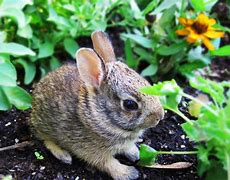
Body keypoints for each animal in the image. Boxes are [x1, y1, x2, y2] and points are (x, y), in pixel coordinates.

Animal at [29, 31, 164, 180]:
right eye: (130, 104)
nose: (159, 116)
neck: (100, 115)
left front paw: (134, 153)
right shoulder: (91, 149)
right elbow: (107, 163)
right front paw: (128, 173)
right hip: (46, 127)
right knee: (46, 139)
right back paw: (63, 155)